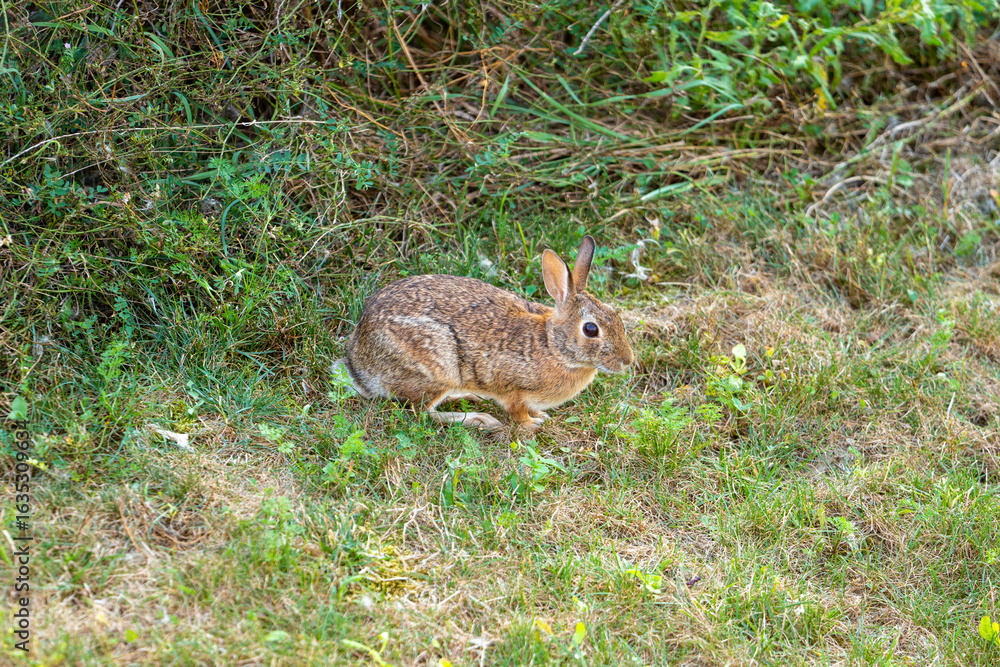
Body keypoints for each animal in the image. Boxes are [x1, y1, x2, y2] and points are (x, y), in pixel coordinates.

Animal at [337, 235, 634, 430]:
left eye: (614, 313)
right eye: (591, 329)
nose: (627, 361)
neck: (553, 346)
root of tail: (359, 368)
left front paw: (542, 415)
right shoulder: (514, 390)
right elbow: (517, 412)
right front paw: (533, 424)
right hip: (436, 367)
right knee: (422, 413)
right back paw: (481, 419)